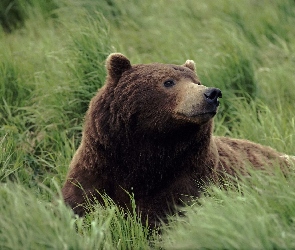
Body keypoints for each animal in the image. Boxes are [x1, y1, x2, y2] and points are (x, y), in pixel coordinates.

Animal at [61, 53, 294, 226]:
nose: (212, 93)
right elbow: (83, 204)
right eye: (168, 82)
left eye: (197, 81)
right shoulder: (99, 167)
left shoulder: (188, 176)